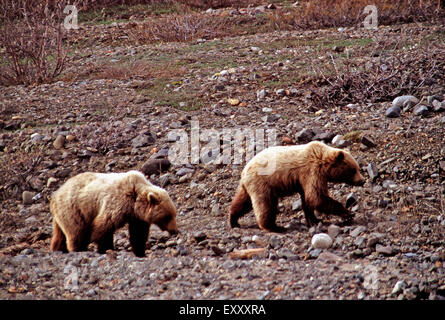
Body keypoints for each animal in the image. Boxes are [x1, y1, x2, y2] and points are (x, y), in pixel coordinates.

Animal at [49, 170, 178, 258]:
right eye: (167, 216)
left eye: (174, 214)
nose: (175, 230)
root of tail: (55, 195)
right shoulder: (116, 202)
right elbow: (103, 227)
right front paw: (106, 248)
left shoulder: (137, 217)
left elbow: (138, 234)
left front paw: (140, 252)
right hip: (74, 210)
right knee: (76, 232)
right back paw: (78, 249)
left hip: (62, 216)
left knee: (59, 235)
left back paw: (58, 249)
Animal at [229, 141, 364, 231]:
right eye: (353, 170)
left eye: (358, 168)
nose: (362, 180)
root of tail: (244, 170)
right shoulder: (312, 171)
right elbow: (316, 197)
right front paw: (348, 213)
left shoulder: (304, 180)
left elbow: (308, 200)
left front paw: (315, 220)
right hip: (262, 183)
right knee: (265, 204)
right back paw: (274, 227)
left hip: (249, 186)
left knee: (243, 202)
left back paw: (233, 220)